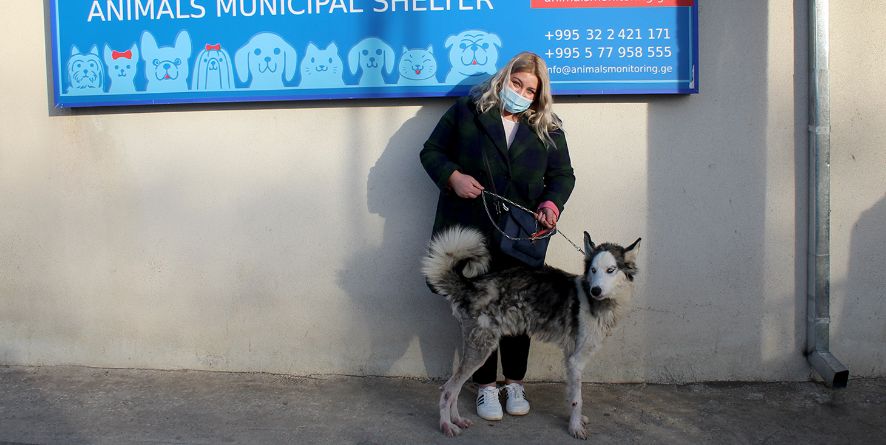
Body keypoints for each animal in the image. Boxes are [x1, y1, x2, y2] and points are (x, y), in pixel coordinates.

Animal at [420, 225, 640, 438]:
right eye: (593, 270)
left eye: (610, 270)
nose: (596, 290)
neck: (592, 299)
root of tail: (471, 285)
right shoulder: (576, 361)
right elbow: (578, 399)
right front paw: (575, 428)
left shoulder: (570, 359)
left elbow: (572, 395)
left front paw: (576, 419)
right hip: (481, 351)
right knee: (448, 390)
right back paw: (447, 425)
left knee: (454, 390)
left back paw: (457, 420)